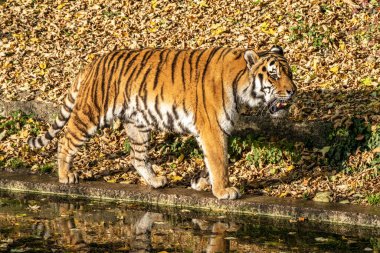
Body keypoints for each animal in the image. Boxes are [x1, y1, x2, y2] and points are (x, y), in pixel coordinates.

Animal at [29, 45, 296, 200]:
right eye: (274, 74)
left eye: (290, 73)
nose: (292, 91)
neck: (241, 88)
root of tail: (93, 62)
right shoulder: (212, 129)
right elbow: (220, 161)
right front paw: (223, 191)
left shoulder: (212, 130)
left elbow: (210, 160)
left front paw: (200, 183)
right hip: (91, 113)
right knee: (65, 140)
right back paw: (65, 176)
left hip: (138, 124)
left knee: (137, 157)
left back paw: (155, 181)